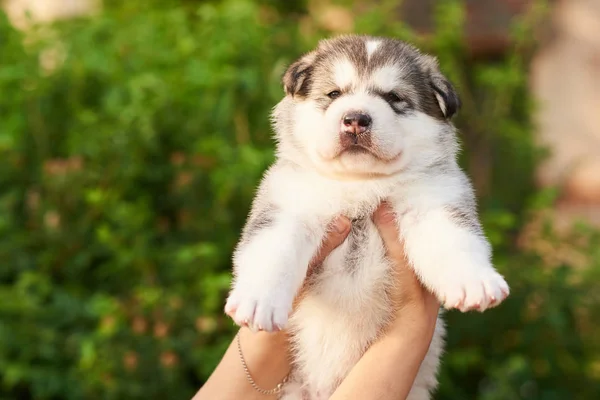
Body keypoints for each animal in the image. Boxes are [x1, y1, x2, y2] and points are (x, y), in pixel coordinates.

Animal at [223, 35, 508, 400]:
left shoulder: (434, 202)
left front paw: (475, 282)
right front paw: (258, 301)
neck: (361, 186)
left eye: (394, 97)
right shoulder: (289, 207)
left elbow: (455, 241)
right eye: (334, 94)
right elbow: (274, 252)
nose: (355, 118)